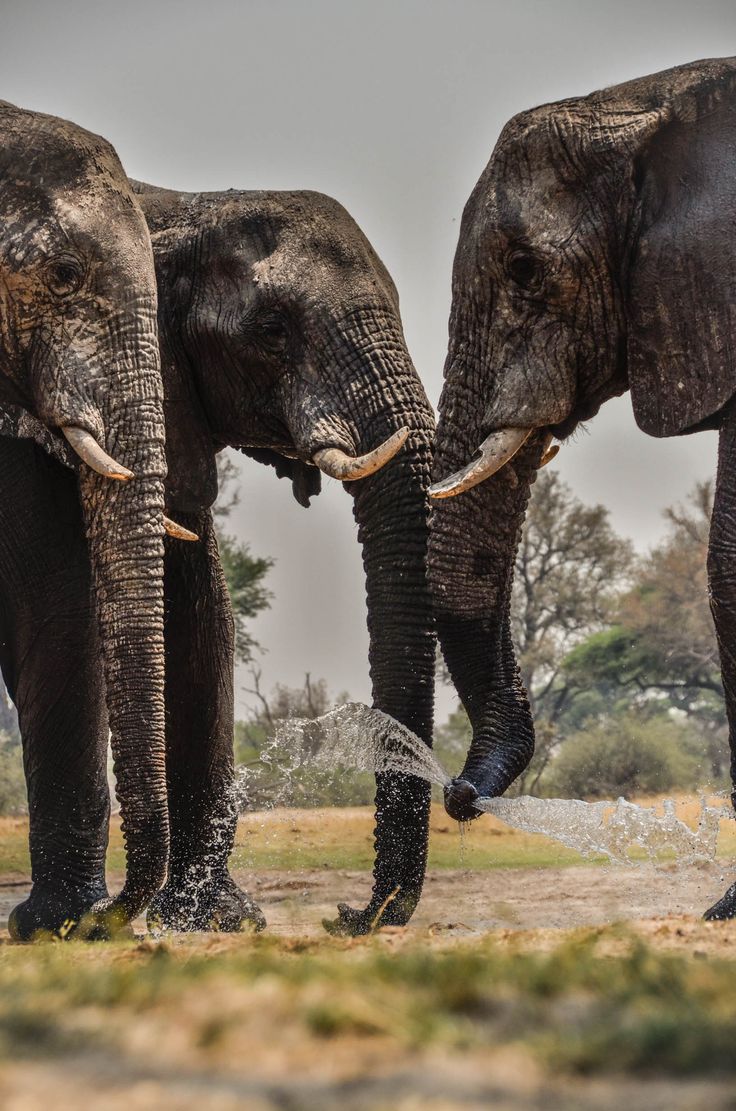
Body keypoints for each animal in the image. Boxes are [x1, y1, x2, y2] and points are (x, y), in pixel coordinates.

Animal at [4, 182, 438, 937]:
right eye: (272, 330)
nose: (349, 914)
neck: (185, 207)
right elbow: (48, 599)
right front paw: (62, 924)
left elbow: (201, 617)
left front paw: (216, 920)